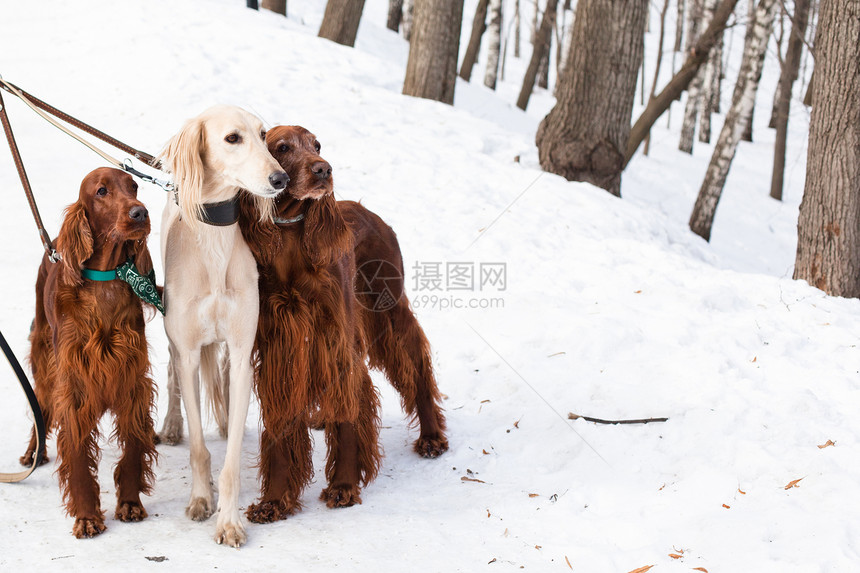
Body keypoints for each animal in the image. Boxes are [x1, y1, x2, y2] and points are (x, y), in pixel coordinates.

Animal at [20, 165, 158, 536]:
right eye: (101, 191)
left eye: (134, 186)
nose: (140, 213)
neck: (104, 282)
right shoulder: (75, 387)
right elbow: (79, 455)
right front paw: (86, 516)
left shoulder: (132, 380)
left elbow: (134, 447)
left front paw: (130, 502)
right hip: (44, 357)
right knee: (40, 402)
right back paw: (33, 452)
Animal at [156, 105, 288, 548]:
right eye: (232, 138)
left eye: (264, 135)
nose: (280, 179)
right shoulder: (189, 353)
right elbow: (199, 446)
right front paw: (201, 499)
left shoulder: (244, 351)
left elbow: (230, 461)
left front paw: (229, 520)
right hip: (176, 342)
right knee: (172, 375)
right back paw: (171, 424)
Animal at [237, 126, 446, 524]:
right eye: (282, 147)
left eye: (317, 144)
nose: (324, 169)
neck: (290, 239)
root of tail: (370, 213)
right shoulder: (278, 348)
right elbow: (281, 426)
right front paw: (274, 500)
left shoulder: (335, 342)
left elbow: (349, 415)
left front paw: (344, 486)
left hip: (388, 311)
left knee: (416, 367)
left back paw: (431, 436)